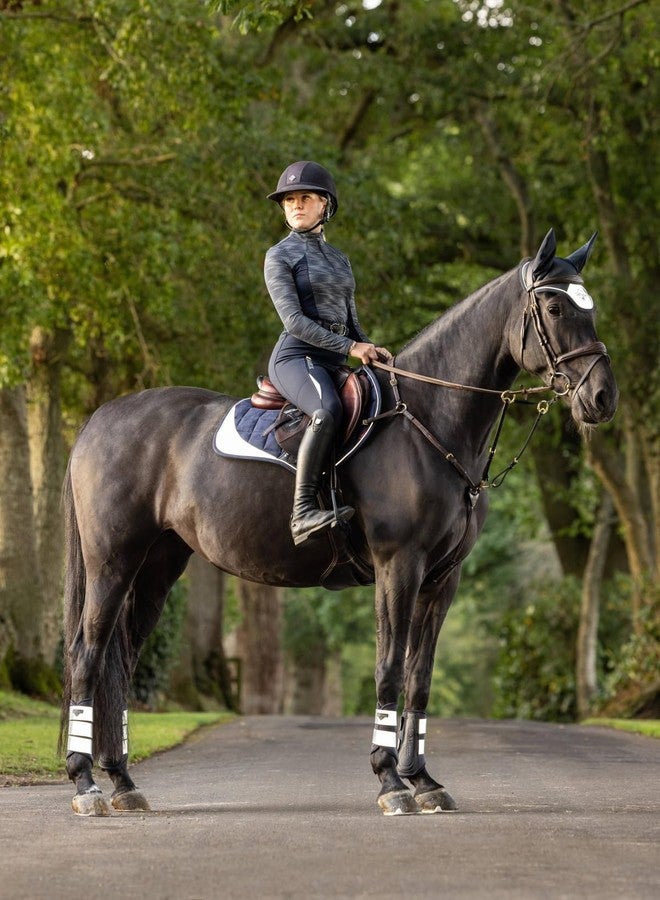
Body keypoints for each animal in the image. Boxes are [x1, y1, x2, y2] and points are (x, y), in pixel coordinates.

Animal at [59, 229, 618, 816]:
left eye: (590, 307)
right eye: (554, 307)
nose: (603, 397)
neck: (427, 420)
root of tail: (101, 418)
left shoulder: (443, 579)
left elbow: (419, 677)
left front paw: (424, 781)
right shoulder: (399, 566)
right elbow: (389, 667)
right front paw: (391, 782)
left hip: (157, 566)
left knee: (120, 660)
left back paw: (122, 781)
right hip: (112, 561)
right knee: (86, 655)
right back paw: (85, 784)